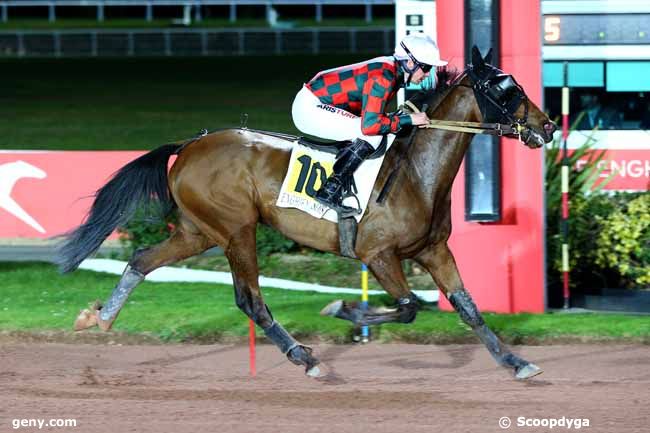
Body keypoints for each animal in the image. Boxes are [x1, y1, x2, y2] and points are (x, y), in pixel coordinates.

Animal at [62, 47, 552, 378]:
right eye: (507, 90)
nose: (546, 127)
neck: (418, 172)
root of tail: (189, 144)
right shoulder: (378, 254)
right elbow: (410, 306)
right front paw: (344, 310)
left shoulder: (433, 250)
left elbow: (468, 308)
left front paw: (516, 362)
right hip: (237, 229)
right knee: (250, 299)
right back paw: (304, 356)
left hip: (198, 232)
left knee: (142, 260)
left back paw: (99, 318)